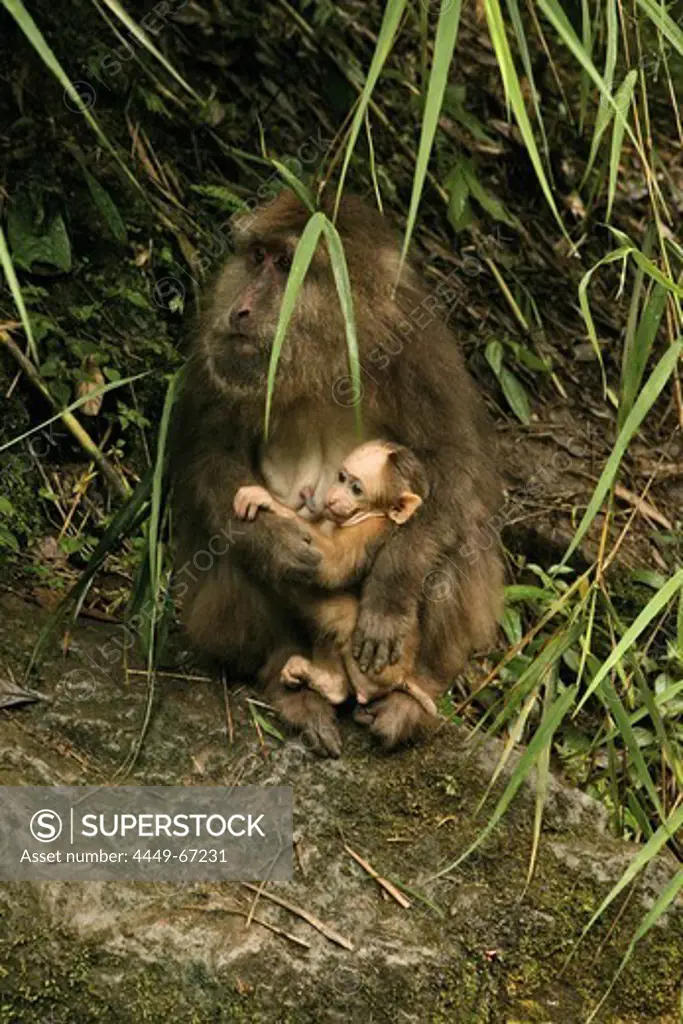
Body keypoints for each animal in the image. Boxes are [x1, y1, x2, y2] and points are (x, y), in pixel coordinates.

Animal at [233, 440, 438, 720]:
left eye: (356, 489)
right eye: (341, 477)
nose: (332, 497)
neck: (368, 515)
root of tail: (402, 678)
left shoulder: (367, 530)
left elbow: (333, 563)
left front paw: (266, 500)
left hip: (378, 670)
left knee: (339, 611)